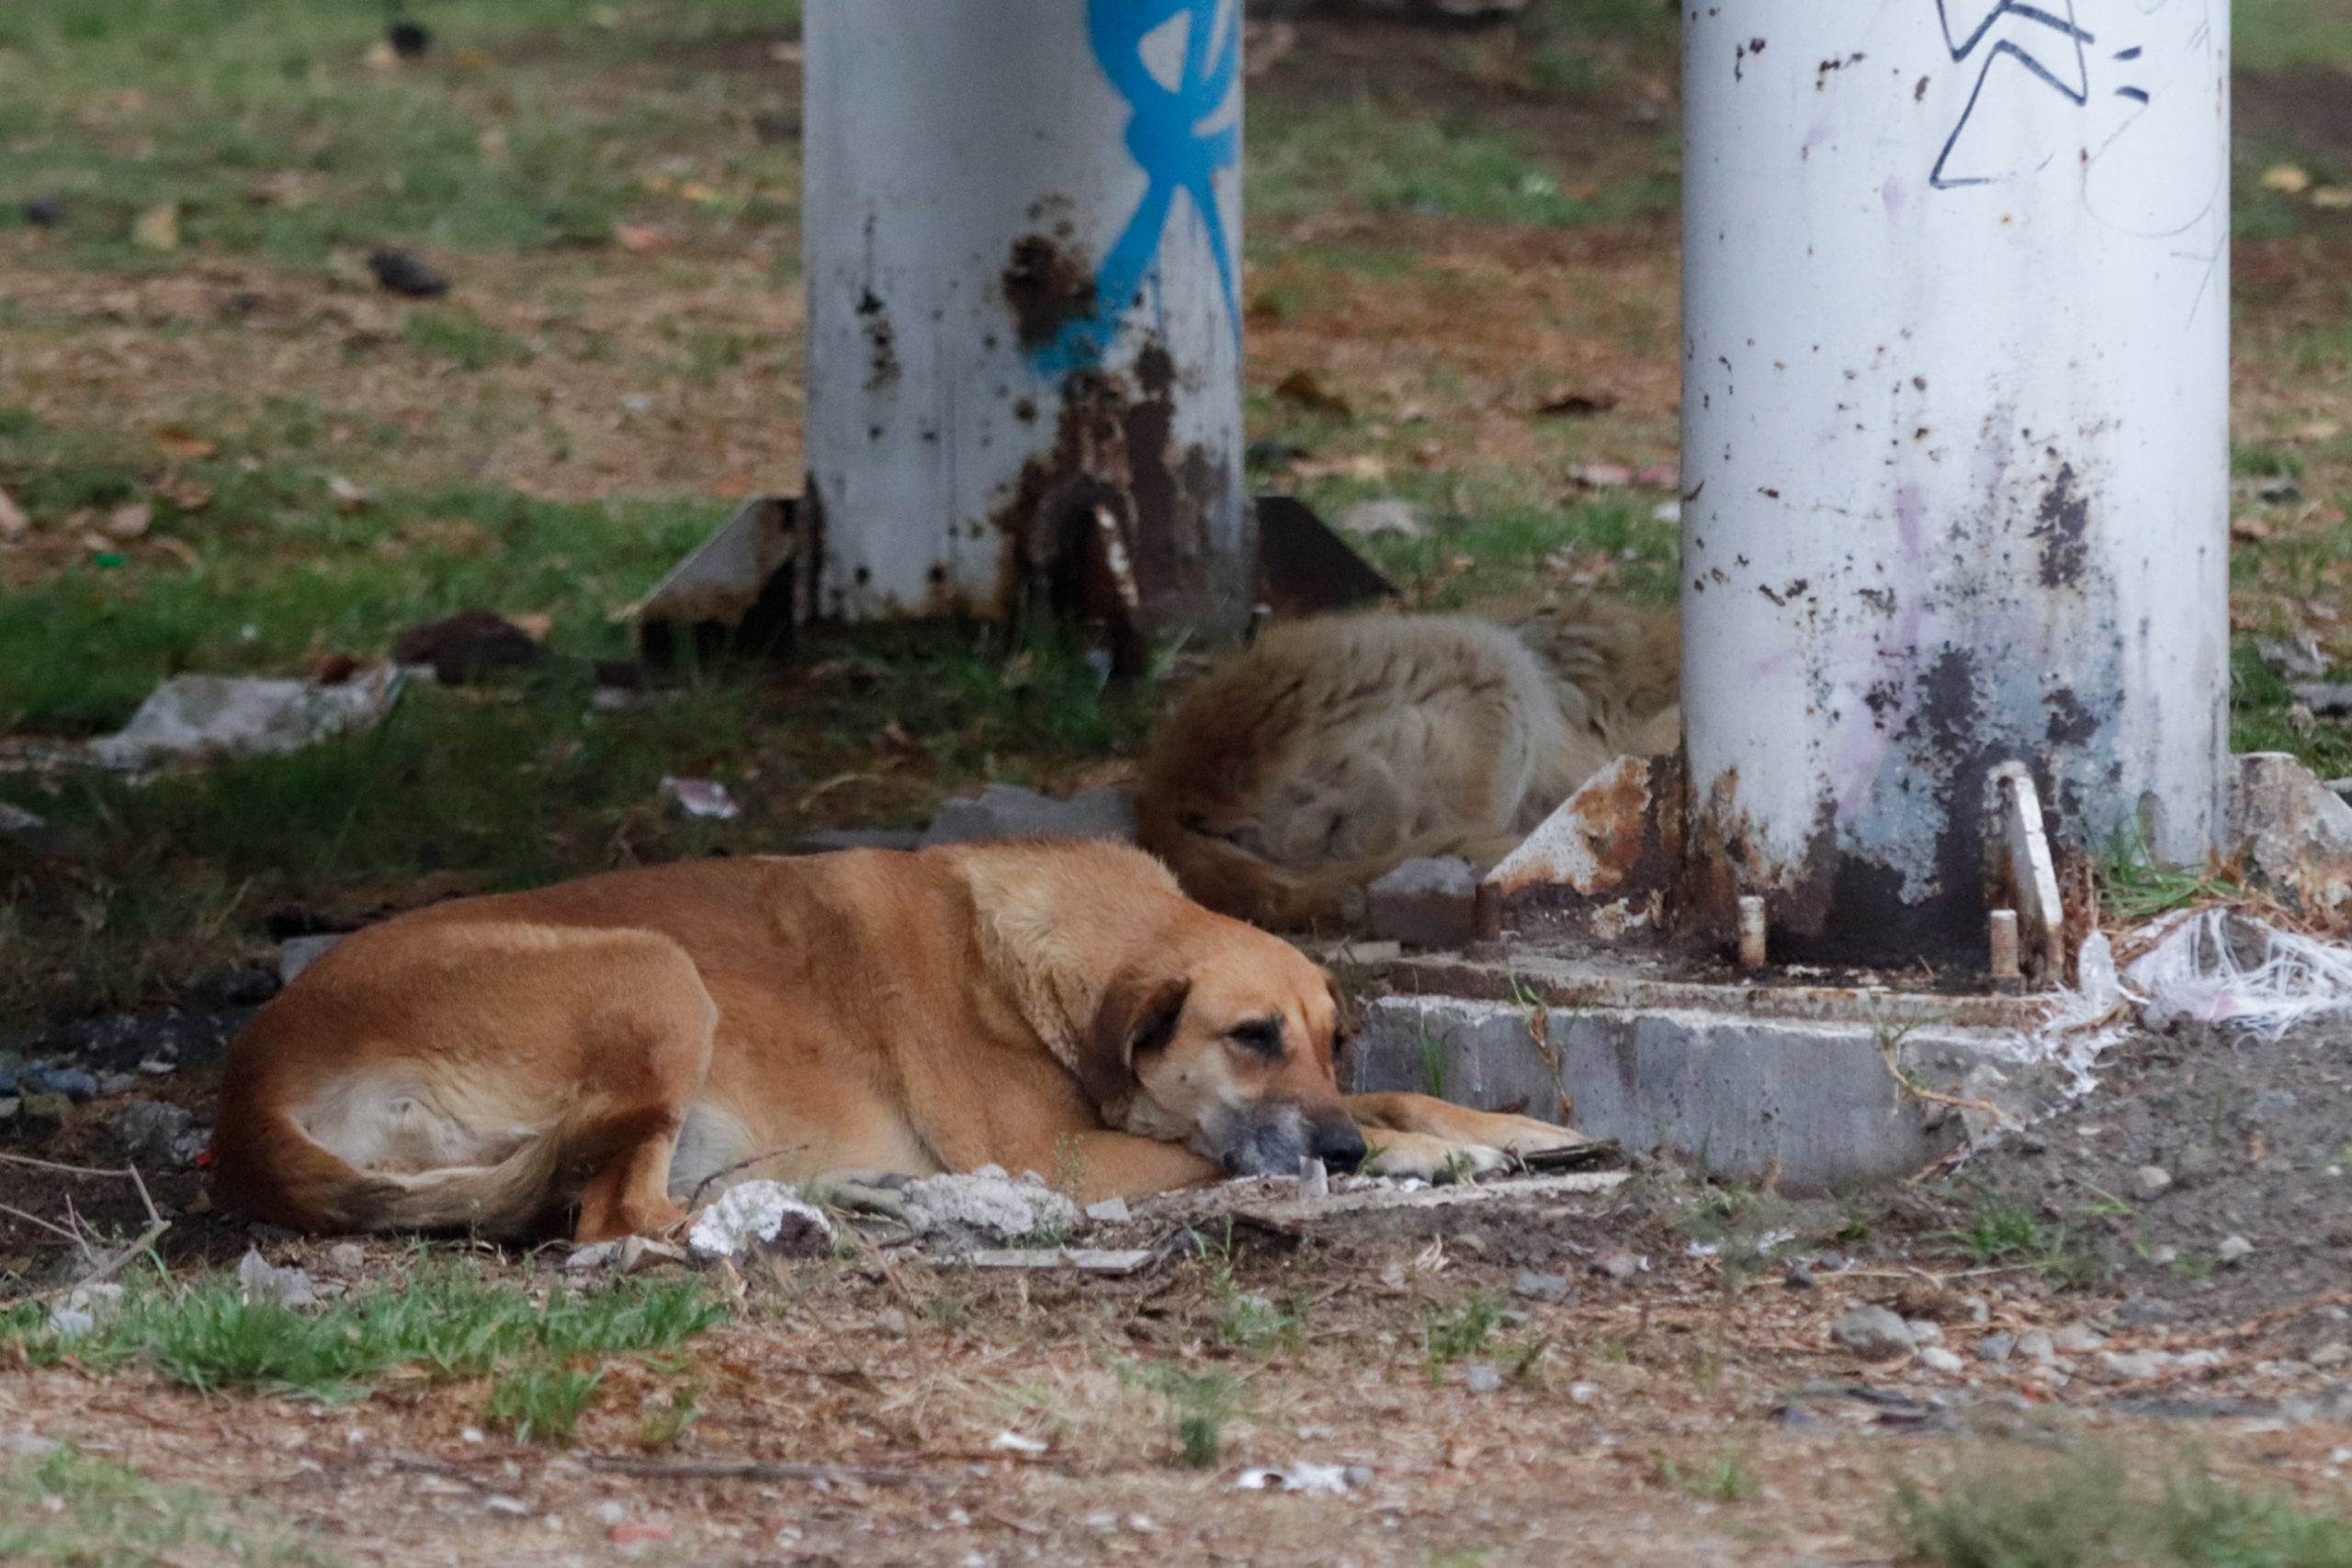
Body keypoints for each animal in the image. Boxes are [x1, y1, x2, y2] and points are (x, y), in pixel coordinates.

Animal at [211, 841, 1589, 1241]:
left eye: (1328, 1041)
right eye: (1249, 1036)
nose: (1340, 1150)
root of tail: (248, 1084)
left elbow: (1409, 1093)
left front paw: (1495, 1129)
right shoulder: (1066, 1153)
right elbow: (1225, 1151)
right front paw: (1419, 1156)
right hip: (655, 974)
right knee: (616, 1217)